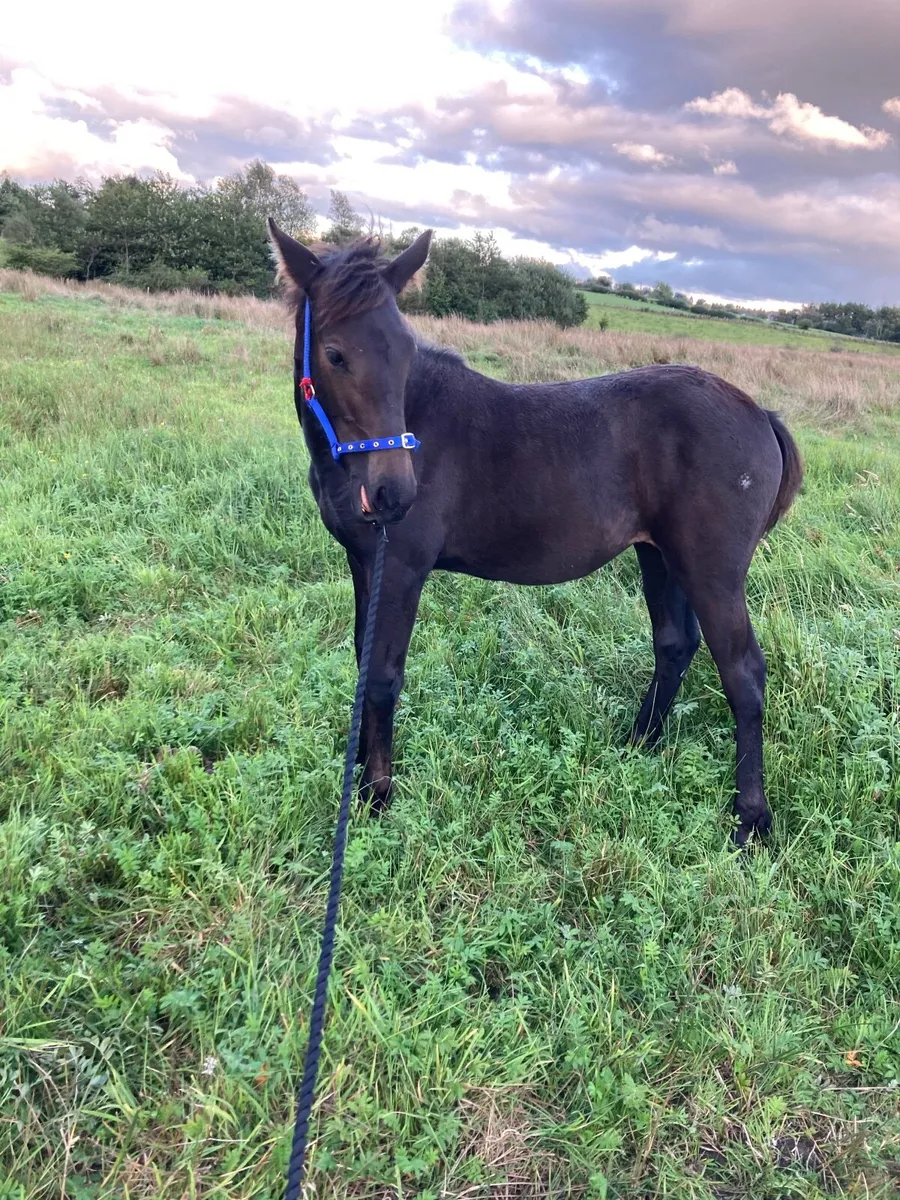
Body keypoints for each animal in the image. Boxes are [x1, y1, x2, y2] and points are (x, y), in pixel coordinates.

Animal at [267, 220, 803, 846]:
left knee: (743, 673)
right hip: (659, 555)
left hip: (711, 570)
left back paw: (750, 818)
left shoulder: (398, 566)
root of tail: (760, 413)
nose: (395, 493)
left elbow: (381, 676)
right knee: (675, 643)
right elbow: (361, 663)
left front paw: (376, 797)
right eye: (334, 355)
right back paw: (638, 744)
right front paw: (355, 773)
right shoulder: (362, 562)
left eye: (405, 353)